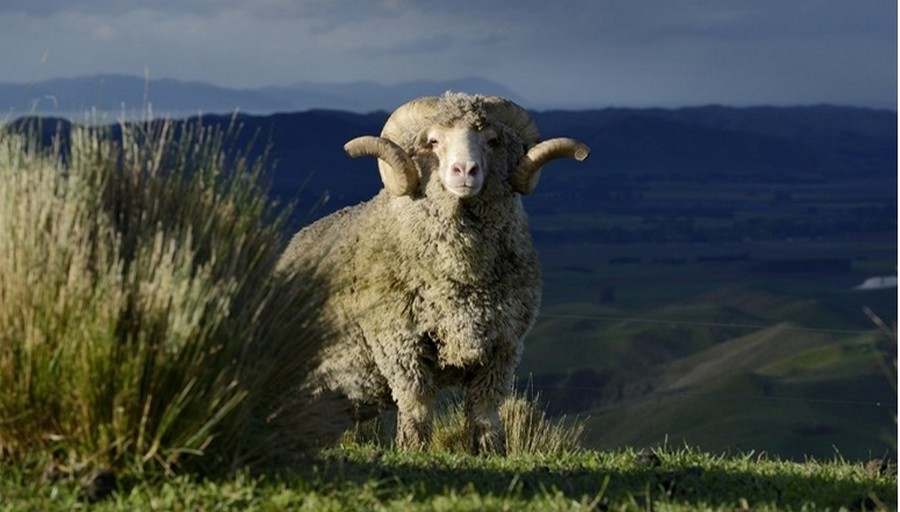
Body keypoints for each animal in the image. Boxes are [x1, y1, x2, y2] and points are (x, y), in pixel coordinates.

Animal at [282, 92, 592, 452]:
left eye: (492, 140)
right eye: (432, 141)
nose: (465, 170)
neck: (464, 280)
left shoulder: (502, 347)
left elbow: (485, 409)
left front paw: (489, 451)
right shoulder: (401, 345)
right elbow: (416, 403)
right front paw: (413, 448)